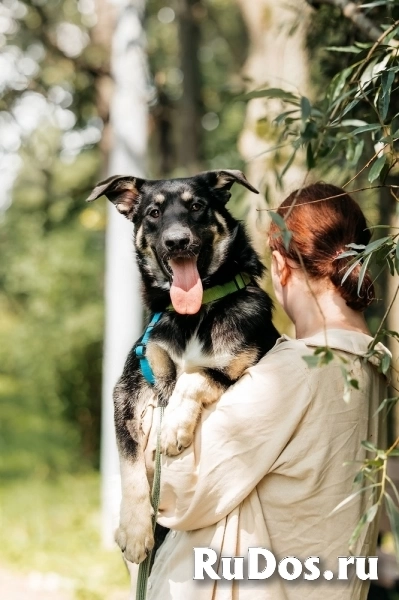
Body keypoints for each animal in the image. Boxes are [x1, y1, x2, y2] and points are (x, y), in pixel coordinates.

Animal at [86, 169, 282, 564]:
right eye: (154, 213)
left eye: (197, 206)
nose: (177, 241)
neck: (194, 313)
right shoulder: (130, 384)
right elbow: (129, 462)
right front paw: (134, 529)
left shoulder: (240, 363)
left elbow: (193, 377)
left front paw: (174, 426)